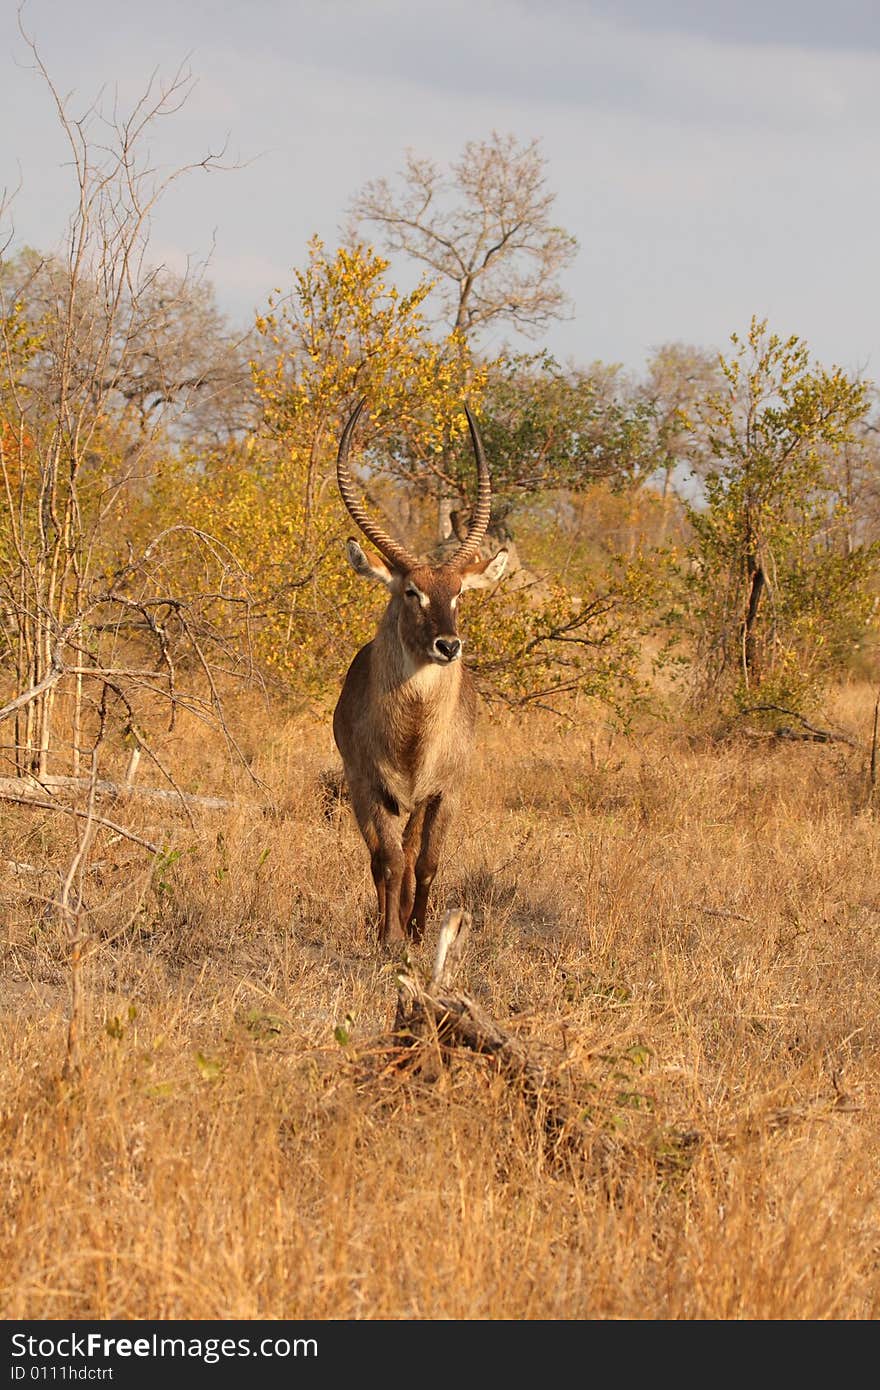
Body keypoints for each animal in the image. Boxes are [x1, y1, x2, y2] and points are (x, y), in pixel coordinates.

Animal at [330, 400, 508, 945]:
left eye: (460, 592)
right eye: (412, 591)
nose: (447, 645)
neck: (413, 736)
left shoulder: (446, 792)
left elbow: (426, 862)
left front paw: (419, 931)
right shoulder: (369, 786)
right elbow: (386, 859)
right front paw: (390, 937)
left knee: (410, 855)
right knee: (381, 858)